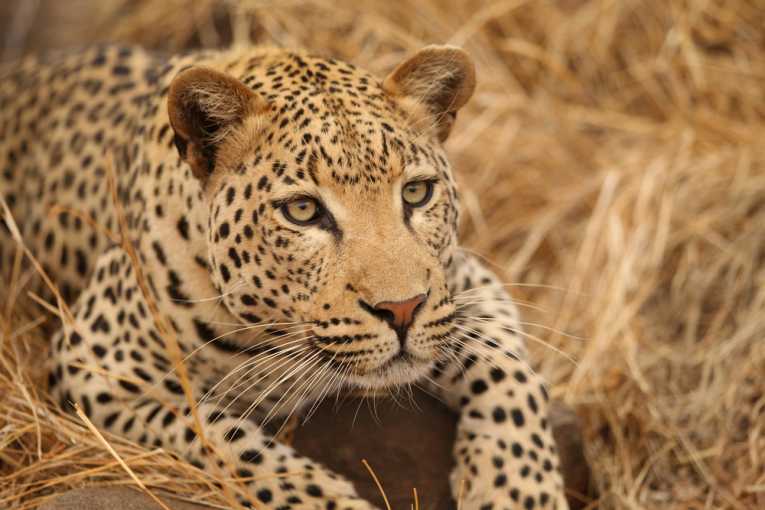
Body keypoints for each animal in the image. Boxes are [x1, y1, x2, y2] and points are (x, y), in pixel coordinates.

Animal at [0, 43, 568, 510]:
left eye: (415, 193)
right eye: (302, 210)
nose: (401, 310)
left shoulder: (462, 281)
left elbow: (508, 369)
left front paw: (521, 494)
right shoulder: (95, 367)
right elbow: (224, 443)